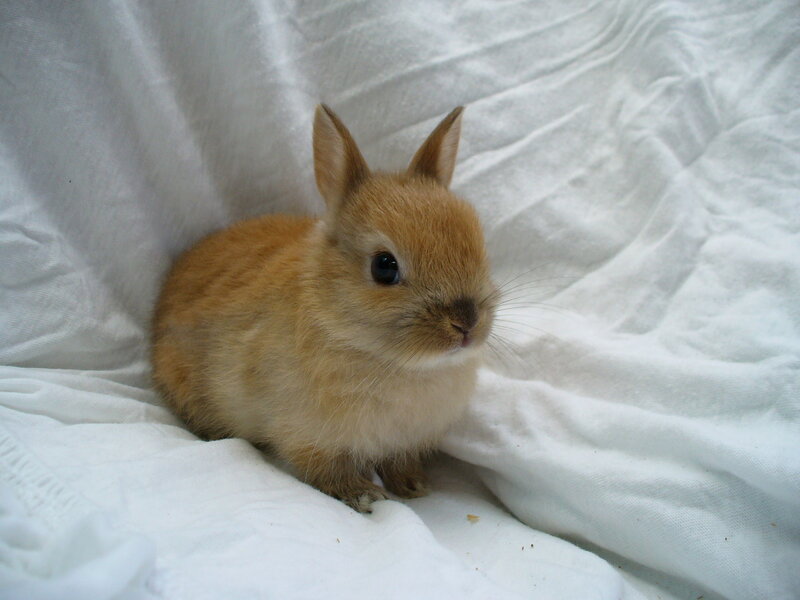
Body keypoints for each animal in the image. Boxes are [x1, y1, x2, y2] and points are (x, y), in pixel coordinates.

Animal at [151, 104, 497, 513]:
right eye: (384, 266)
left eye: (479, 244)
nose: (466, 324)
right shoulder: (308, 435)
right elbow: (326, 470)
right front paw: (363, 495)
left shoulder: (402, 441)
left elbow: (398, 461)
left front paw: (414, 485)